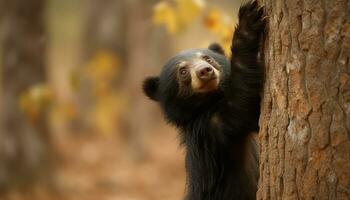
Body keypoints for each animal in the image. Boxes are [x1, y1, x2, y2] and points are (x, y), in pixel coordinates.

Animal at [142, 0, 262, 199]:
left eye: (208, 58)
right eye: (183, 71)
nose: (205, 71)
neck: (209, 103)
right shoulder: (214, 128)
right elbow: (244, 102)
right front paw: (248, 21)